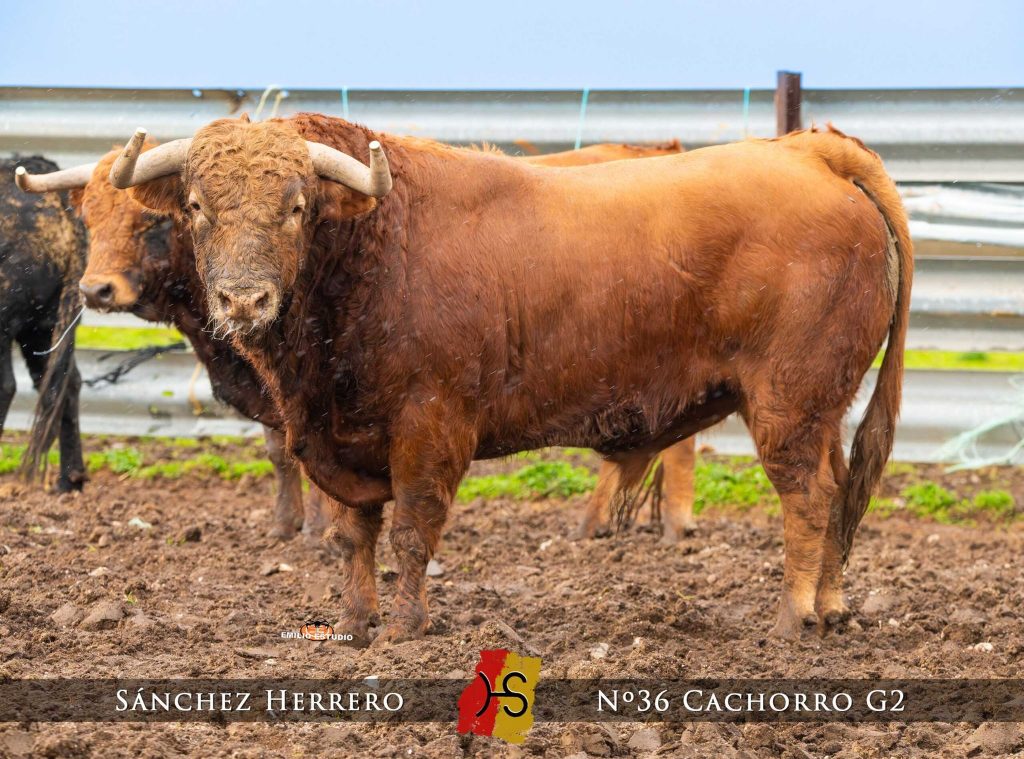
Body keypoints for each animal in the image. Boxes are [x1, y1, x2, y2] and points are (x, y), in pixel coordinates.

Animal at [19, 136, 697, 542]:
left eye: (151, 222)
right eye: (88, 217)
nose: (97, 289)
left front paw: (315, 530)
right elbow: (282, 452)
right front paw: (288, 526)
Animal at [109, 114, 912, 645]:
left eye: (296, 206)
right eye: (196, 206)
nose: (243, 300)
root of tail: (811, 152)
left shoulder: (430, 425)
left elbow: (412, 530)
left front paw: (405, 627)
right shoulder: (338, 440)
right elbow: (352, 535)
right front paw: (354, 622)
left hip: (788, 404)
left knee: (808, 498)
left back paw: (792, 618)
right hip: (823, 407)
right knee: (840, 491)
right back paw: (831, 607)